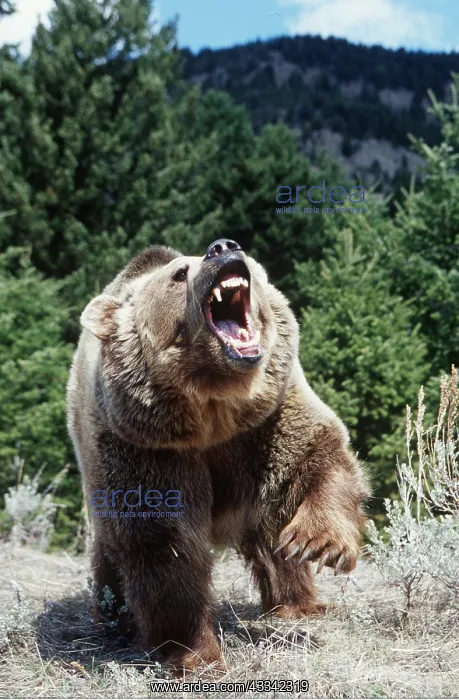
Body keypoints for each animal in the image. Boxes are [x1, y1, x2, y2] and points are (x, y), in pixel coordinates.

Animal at [67, 238, 370, 672]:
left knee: (270, 537)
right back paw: (112, 620)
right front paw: (196, 655)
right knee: (110, 554)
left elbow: (315, 455)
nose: (223, 247)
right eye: (179, 274)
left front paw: (319, 542)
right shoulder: (146, 446)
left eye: (249, 262)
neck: (213, 408)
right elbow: (166, 544)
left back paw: (300, 603)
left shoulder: (264, 419)